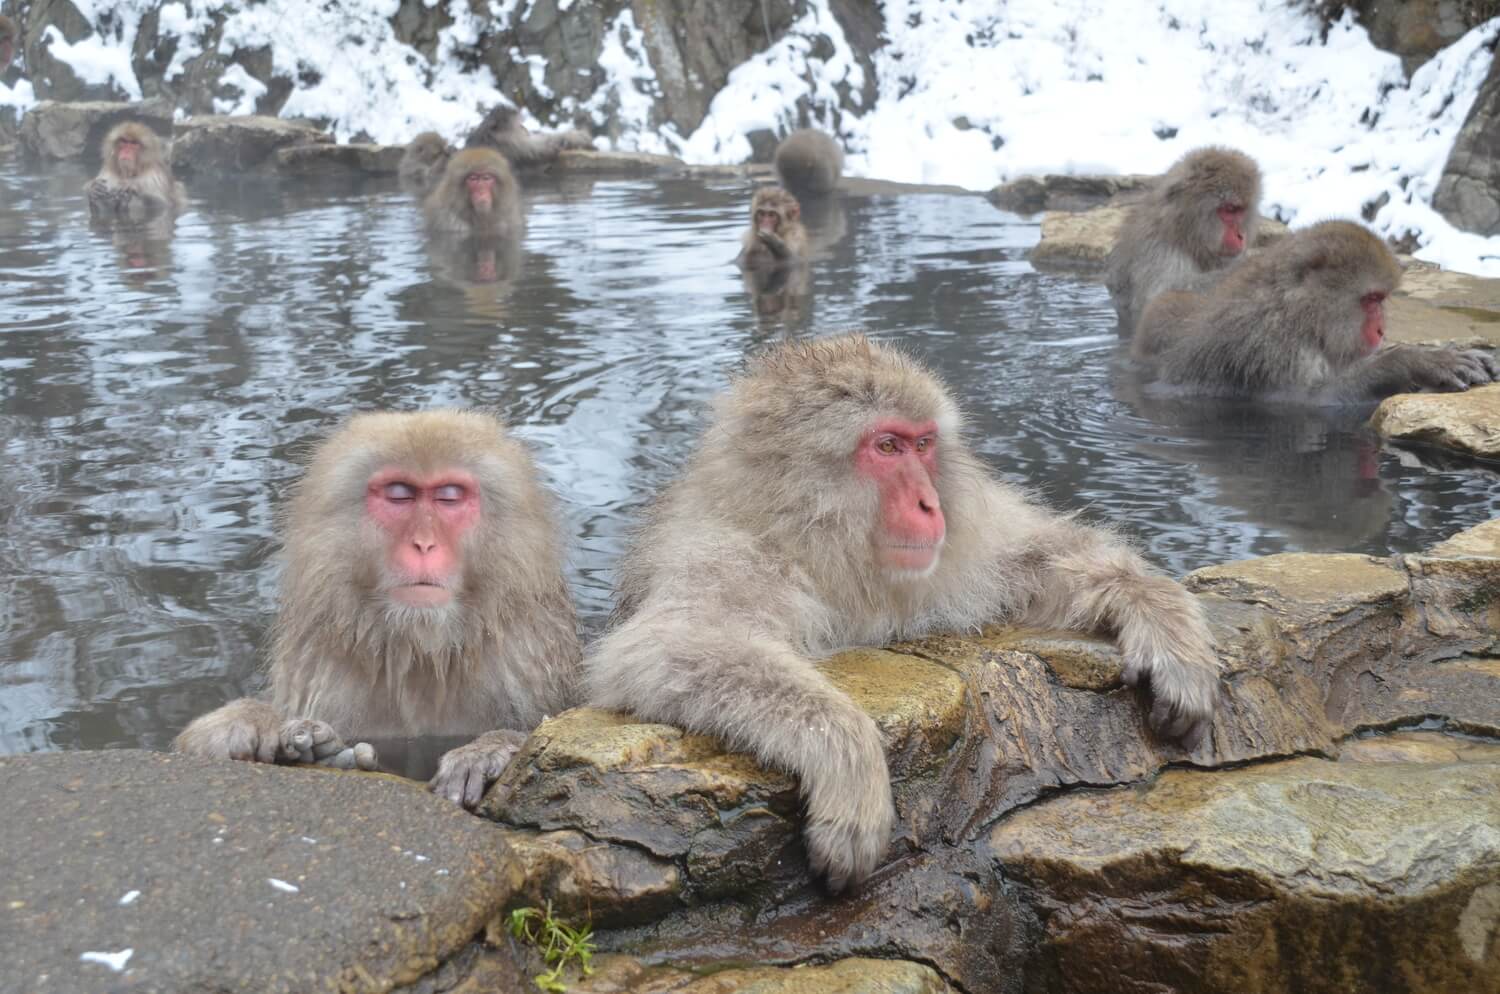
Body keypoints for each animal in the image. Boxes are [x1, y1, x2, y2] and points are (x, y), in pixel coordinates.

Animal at [171, 410, 579, 809]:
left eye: (448, 497)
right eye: (399, 495)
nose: (423, 543)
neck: (420, 652)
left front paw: (486, 752)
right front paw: (243, 723)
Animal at [582, 334, 1218, 893]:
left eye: (923, 445)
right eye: (885, 447)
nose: (930, 504)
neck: (815, 547)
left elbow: (1031, 562)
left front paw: (1160, 619)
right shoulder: (724, 555)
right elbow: (669, 645)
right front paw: (849, 762)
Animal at [1104, 146, 1266, 334]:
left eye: (1240, 210)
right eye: (1229, 210)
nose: (1241, 236)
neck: (1183, 235)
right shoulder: (1157, 251)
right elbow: (1158, 296)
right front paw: (1249, 262)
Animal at [1146, 220, 1500, 401]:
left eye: (1381, 299)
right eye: (1370, 299)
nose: (1381, 330)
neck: (1299, 317)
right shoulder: (1268, 347)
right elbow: (1306, 402)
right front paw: (1412, 362)